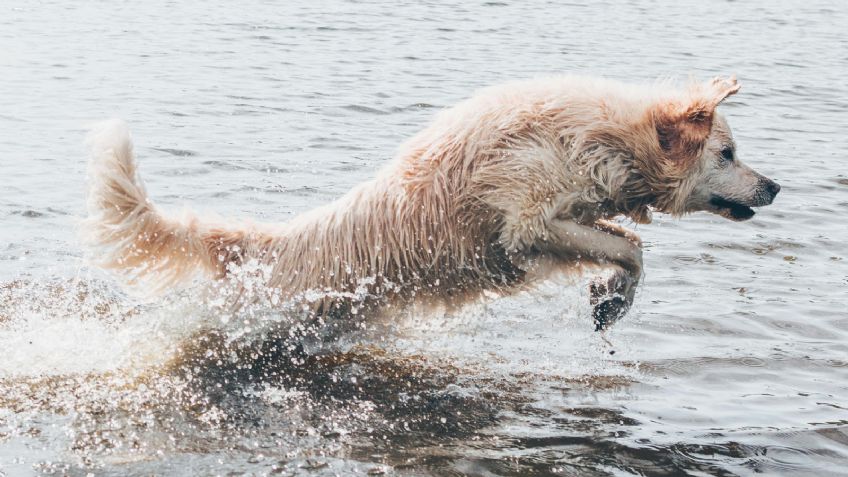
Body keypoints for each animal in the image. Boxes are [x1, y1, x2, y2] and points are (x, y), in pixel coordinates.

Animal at [84, 75, 780, 330]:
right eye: (727, 153)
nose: (775, 186)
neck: (602, 137)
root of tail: (272, 244)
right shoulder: (527, 221)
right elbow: (631, 248)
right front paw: (614, 296)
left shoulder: (567, 216)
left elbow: (628, 243)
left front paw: (612, 299)